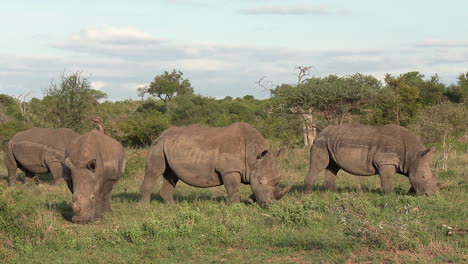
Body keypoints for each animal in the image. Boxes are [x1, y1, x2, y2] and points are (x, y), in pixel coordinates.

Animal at [141, 122, 290, 208]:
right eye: (260, 182)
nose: (269, 205)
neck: (253, 158)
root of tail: (161, 134)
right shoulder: (229, 170)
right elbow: (234, 189)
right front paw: (237, 207)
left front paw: (250, 200)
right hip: (158, 145)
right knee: (155, 171)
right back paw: (145, 207)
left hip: (170, 147)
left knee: (171, 176)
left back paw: (173, 207)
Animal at [306, 123, 448, 194]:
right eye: (423, 177)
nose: (431, 195)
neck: (412, 155)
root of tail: (321, 132)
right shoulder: (386, 162)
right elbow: (387, 180)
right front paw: (390, 196)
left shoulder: (413, 163)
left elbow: (412, 179)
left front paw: (410, 194)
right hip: (321, 142)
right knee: (319, 166)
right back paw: (309, 194)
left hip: (330, 142)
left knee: (333, 167)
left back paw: (334, 194)